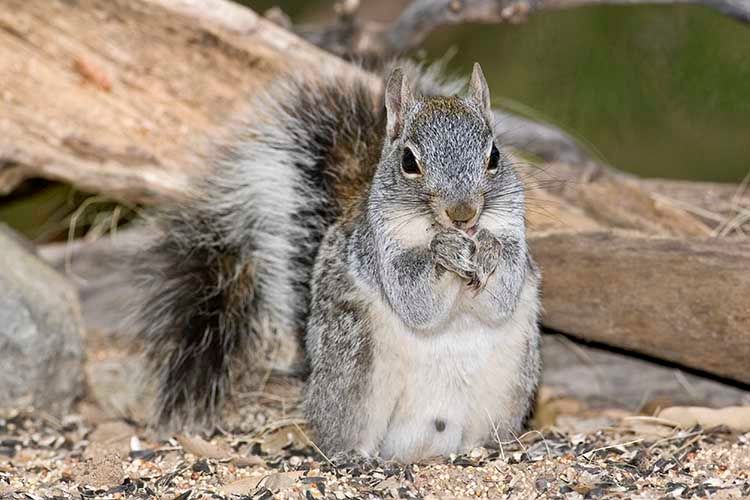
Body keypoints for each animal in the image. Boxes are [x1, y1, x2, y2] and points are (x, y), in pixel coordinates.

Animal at [133, 61, 541, 462]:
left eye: (494, 155)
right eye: (409, 161)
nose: (463, 215)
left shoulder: (513, 240)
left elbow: (501, 297)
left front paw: (487, 249)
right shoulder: (378, 253)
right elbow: (416, 302)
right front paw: (445, 250)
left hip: (509, 384)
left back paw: (487, 449)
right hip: (357, 366)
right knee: (343, 434)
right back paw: (355, 455)